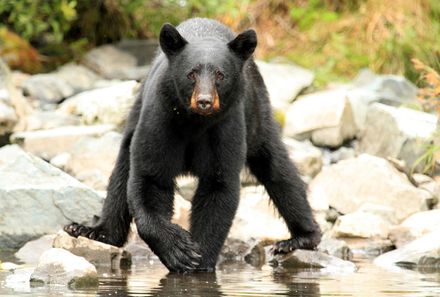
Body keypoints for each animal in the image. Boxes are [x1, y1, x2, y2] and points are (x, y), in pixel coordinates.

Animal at [64, 17, 320, 272]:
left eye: (220, 75)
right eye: (191, 74)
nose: (204, 101)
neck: (194, 122)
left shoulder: (225, 128)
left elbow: (219, 186)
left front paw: (200, 263)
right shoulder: (160, 119)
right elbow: (149, 178)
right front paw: (178, 250)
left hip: (256, 111)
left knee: (277, 168)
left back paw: (300, 238)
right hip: (136, 113)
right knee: (122, 167)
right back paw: (94, 232)